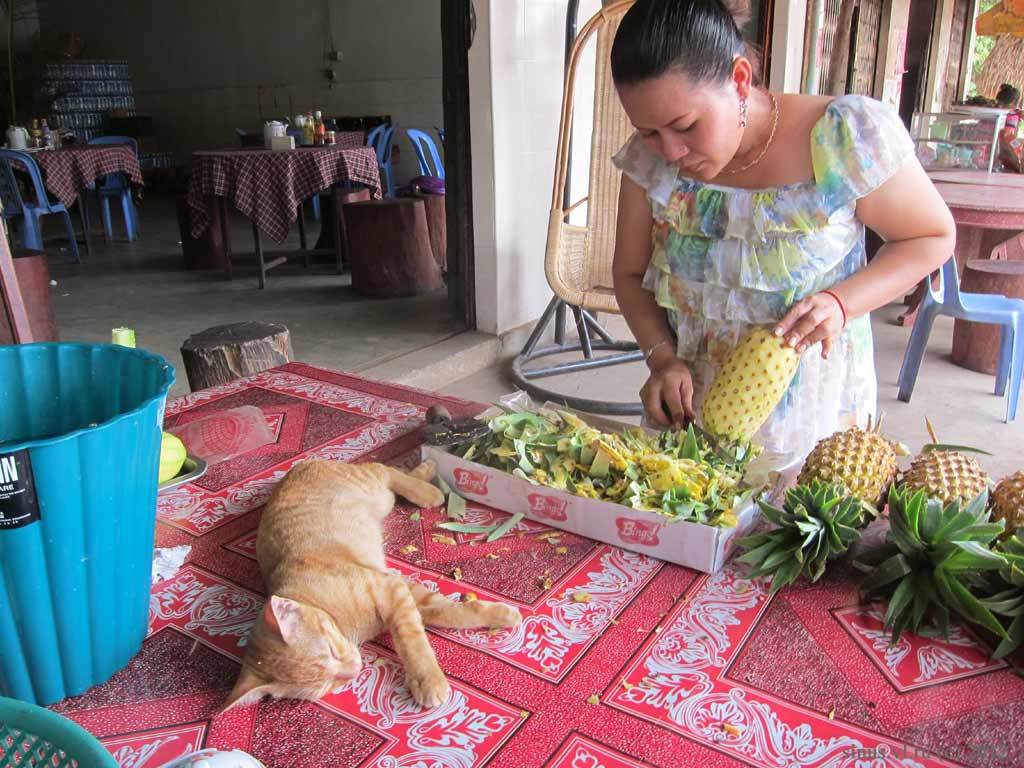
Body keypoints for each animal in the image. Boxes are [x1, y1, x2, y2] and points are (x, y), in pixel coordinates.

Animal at [227, 460, 524, 712]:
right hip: (381, 499)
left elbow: (415, 637)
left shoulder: (391, 589)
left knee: (385, 469)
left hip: (372, 487)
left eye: (331, 651)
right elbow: (443, 610)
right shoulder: (402, 590)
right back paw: (426, 473)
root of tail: (299, 464)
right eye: (326, 684)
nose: (353, 670)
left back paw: (428, 484)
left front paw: (427, 679)